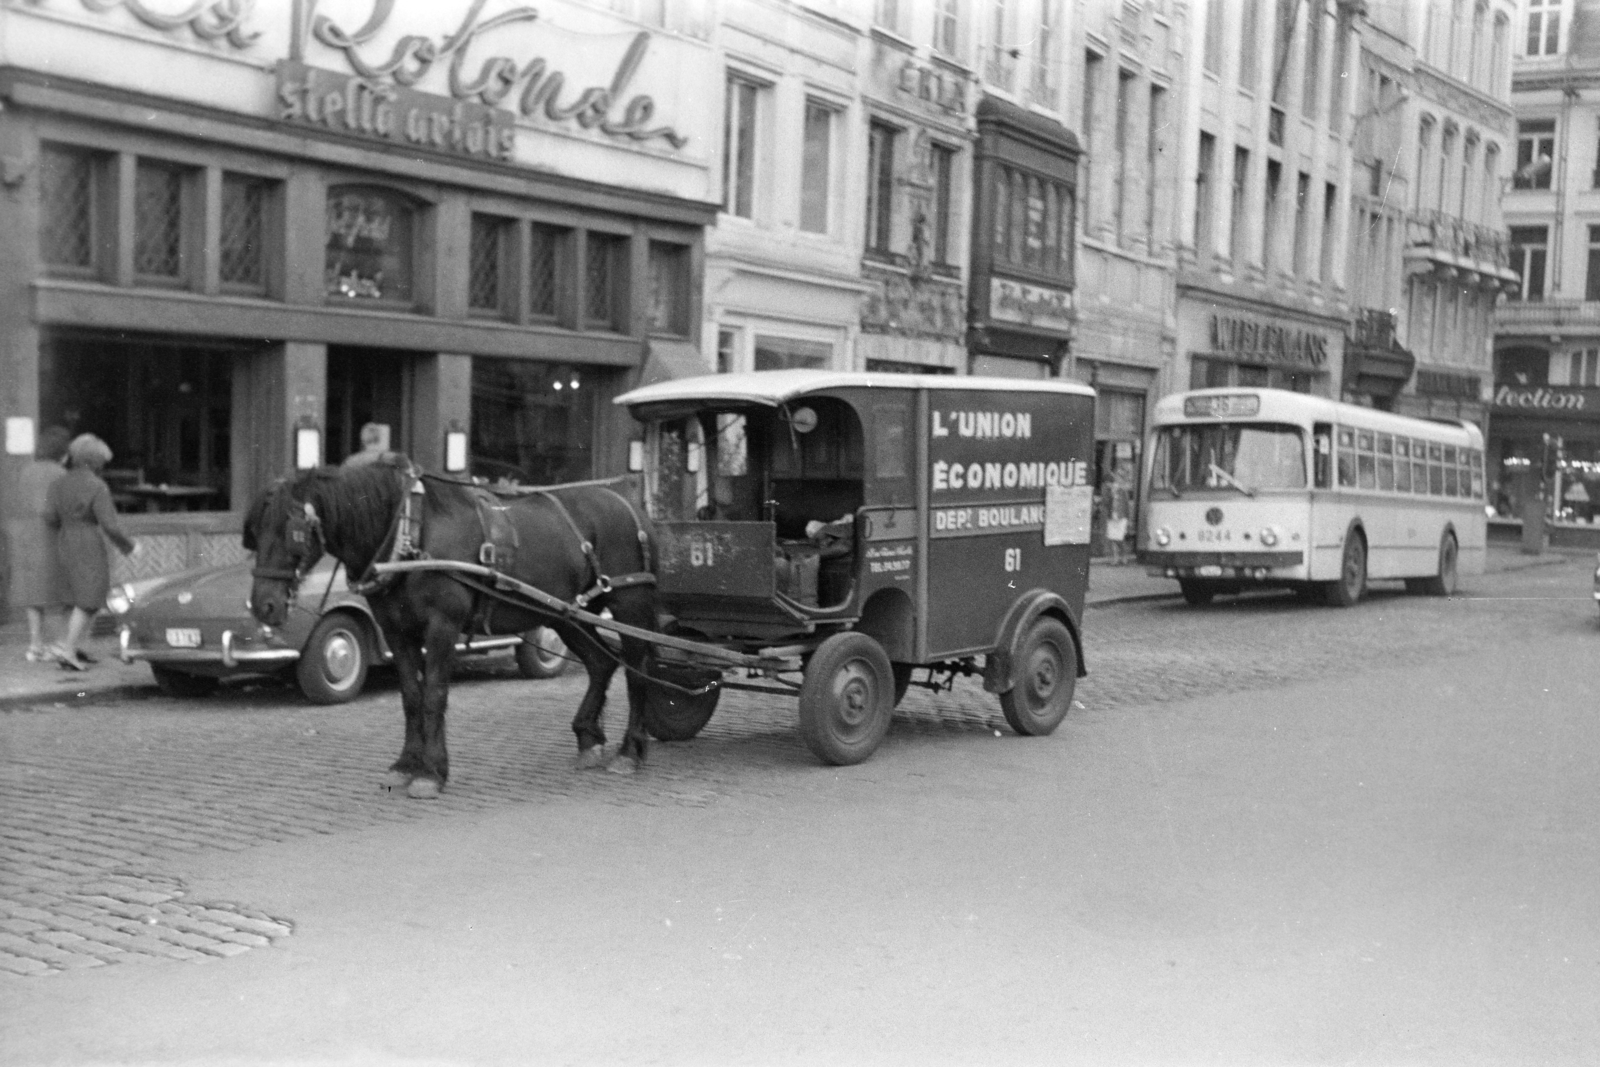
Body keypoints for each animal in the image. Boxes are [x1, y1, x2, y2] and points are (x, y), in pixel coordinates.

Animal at [243, 460, 656, 799]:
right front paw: (405, 765)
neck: (410, 535)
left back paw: (628, 752)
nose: (263, 605)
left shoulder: (442, 626)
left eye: (290, 531)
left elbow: (434, 695)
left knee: (637, 672)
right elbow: (411, 696)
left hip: (629, 606)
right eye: (254, 533)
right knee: (602, 664)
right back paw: (588, 740)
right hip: (568, 615)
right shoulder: (397, 631)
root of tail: (630, 504)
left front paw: (431, 773)